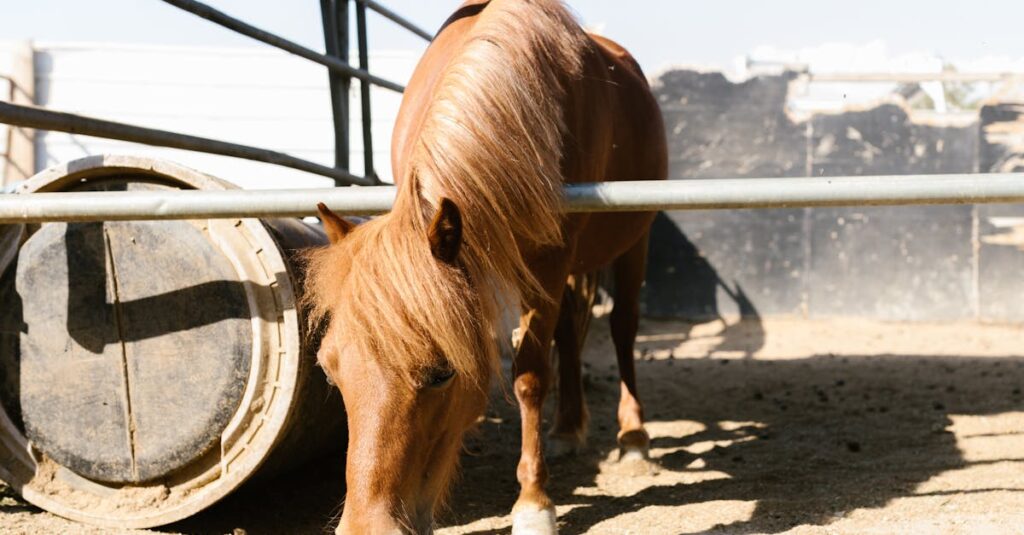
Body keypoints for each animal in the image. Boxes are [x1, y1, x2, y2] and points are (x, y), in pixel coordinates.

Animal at [304, 1, 667, 533]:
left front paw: (534, 504)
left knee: (622, 328)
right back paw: (566, 429)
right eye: (330, 372)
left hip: (634, 241)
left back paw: (633, 437)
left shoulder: (549, 262)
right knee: (570, 334)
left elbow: (529, 374)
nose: (366, 527)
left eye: (441, 375)